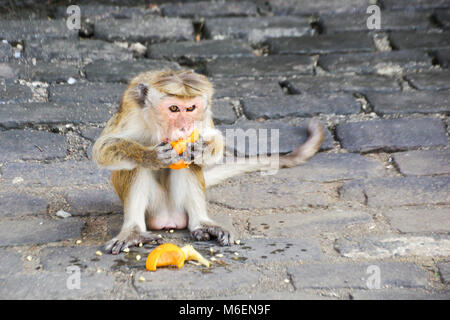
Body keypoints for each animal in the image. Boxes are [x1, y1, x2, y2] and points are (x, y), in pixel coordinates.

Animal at [92, 69, 324, 254]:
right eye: (174, 109)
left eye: (191, 108)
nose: (185, 127)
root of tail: (167, 218)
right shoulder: (131, 107)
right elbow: (102, 149)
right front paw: (151, 156)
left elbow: (214, 140)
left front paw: (203, 148)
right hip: (155, 207)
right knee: (135, 167)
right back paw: (134, 232)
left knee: (190, 165)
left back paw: (201, 223)